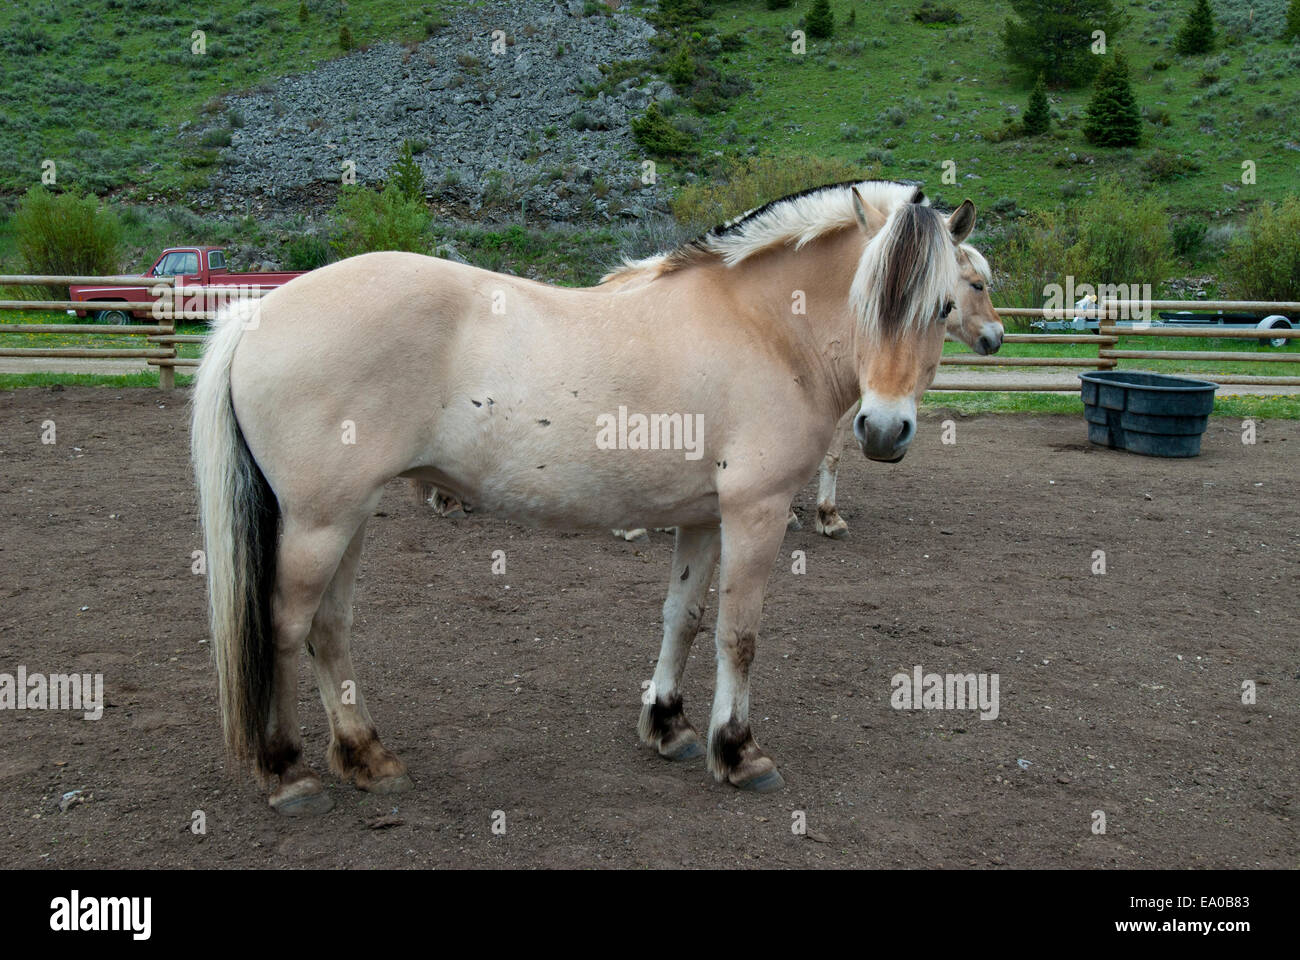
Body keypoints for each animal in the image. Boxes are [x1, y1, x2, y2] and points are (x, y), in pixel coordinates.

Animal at [192, 179, 977, 806]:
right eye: (867, 300)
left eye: (942, 306)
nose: (884, 428)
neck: (759, 327)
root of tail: (254, 314)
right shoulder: (754, 512)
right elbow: (739, 633)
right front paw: (737, 751)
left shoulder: (704, 517)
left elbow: (684, 617)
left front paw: (668, 725)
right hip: (319, 522)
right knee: (286, 627)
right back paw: (288, 772)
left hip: (348, 518)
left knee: (329, 630)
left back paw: (366, 757)